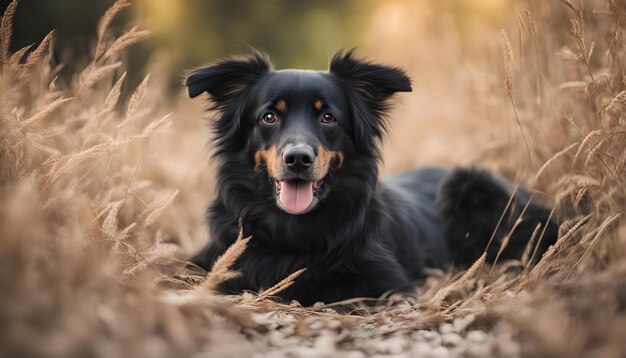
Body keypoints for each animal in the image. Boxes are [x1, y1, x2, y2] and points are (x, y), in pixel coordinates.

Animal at [184, 50, 556, 304]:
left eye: (328, 117)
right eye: (269, 117)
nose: (298, 159)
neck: (293, 226)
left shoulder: (388, 284)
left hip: (471, 183)